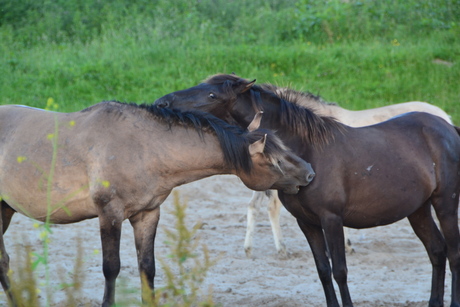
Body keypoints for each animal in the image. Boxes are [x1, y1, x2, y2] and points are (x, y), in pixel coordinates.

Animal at [0, 102, 314, 306]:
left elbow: (146, 268)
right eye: (275, 161)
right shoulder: (109, 215)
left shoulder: (147, 214)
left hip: (5, 210)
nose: (310, 173)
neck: (141, 147)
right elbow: (111, 269)